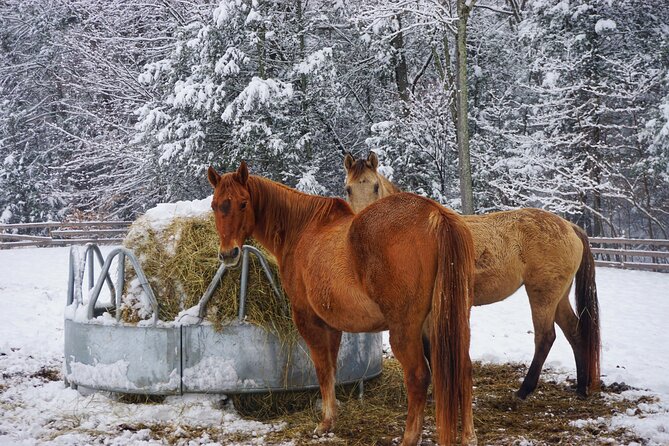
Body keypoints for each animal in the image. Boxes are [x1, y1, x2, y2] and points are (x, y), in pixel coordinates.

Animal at [208, 162, 477, 445]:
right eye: (215, 205)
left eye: (243, 203)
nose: (228, 253)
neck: (302, 229)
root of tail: (435, 214)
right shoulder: (332, 325)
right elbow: (332, 369)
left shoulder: (309, 320)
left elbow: (323, 370)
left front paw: (325, 423)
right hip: (449, 324)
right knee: (463, 369)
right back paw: (469, 436)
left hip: (405, 330)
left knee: (418, 377)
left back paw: (409, 438)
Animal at [344, 151, 601, 400]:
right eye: (348, 188)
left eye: (375, 186)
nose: (360, 229)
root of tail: (569, 226)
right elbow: (428, 348)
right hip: (559, 296)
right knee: (574, 331)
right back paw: (581, 388)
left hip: (542, 295)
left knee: (545, 337)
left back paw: (524, 391)